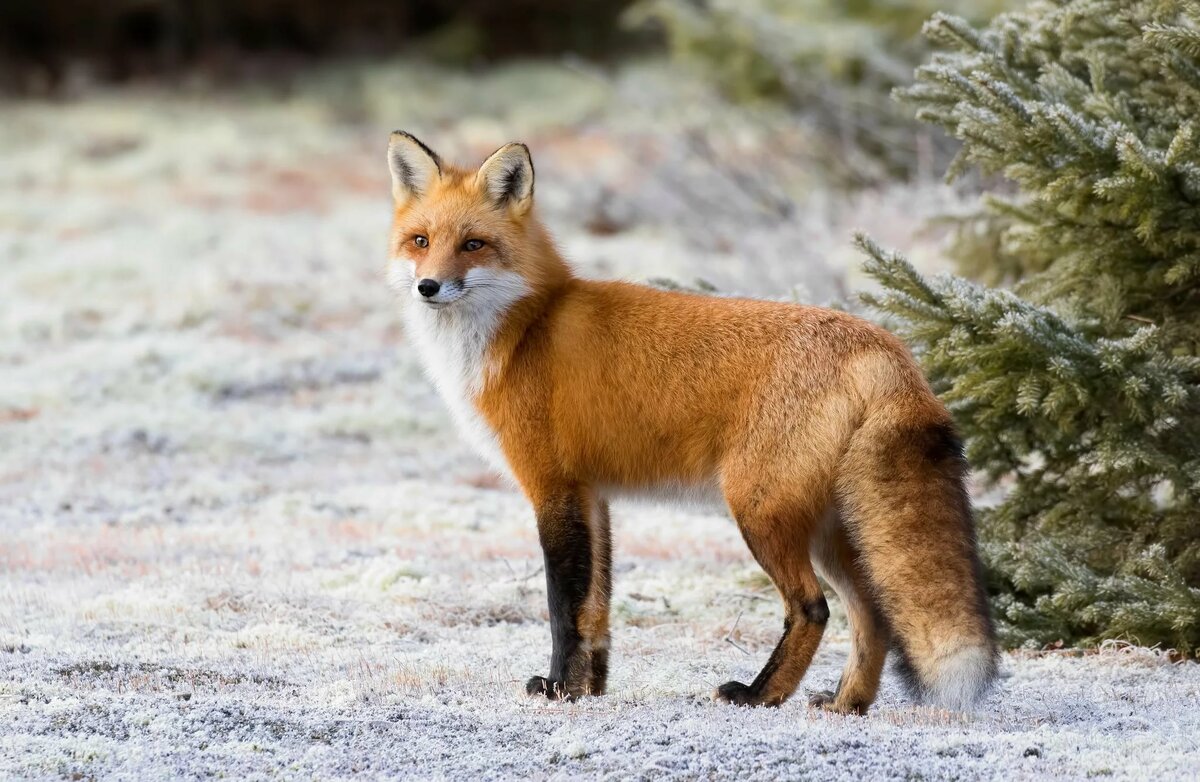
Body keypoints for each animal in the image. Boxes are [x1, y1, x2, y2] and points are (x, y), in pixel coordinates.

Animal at [384, 131, 998, 714]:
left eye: (473, 244)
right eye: (421, 241)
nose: (427, 287)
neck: (523, 327)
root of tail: (887, 346)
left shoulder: (552, 487)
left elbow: (564, 606)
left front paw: (558, 689)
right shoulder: (592, 495)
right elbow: (596, 606)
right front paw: (590, 688)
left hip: (760, 511)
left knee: (812, 608)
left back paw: (759, 694)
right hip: (830, 527)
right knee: (871, 613)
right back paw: (846, 703)